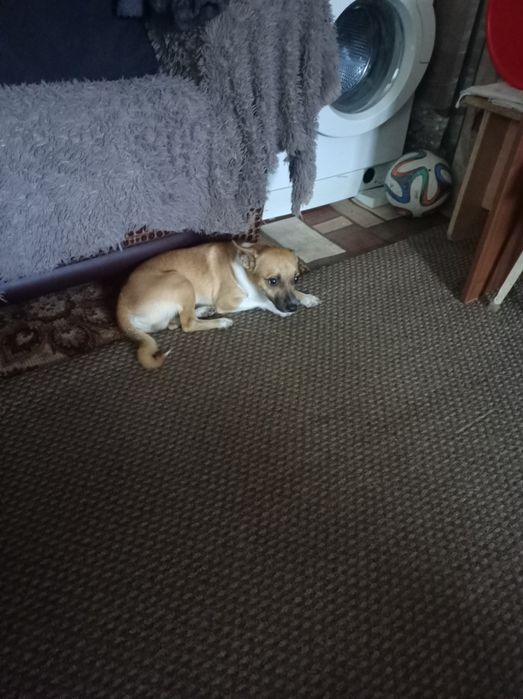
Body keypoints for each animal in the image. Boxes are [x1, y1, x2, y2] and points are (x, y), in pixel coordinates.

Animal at [116, 240, 320, 369]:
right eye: (273, 281)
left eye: (296, 279)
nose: (293, 307)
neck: (244, 269)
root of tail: (121, 307)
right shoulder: (228, 301)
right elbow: (261, 300)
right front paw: (280, 310)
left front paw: (306, 297)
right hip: (180, 281)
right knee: (188, 324)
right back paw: (221, 322)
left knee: (176, 323)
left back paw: (205, 310)